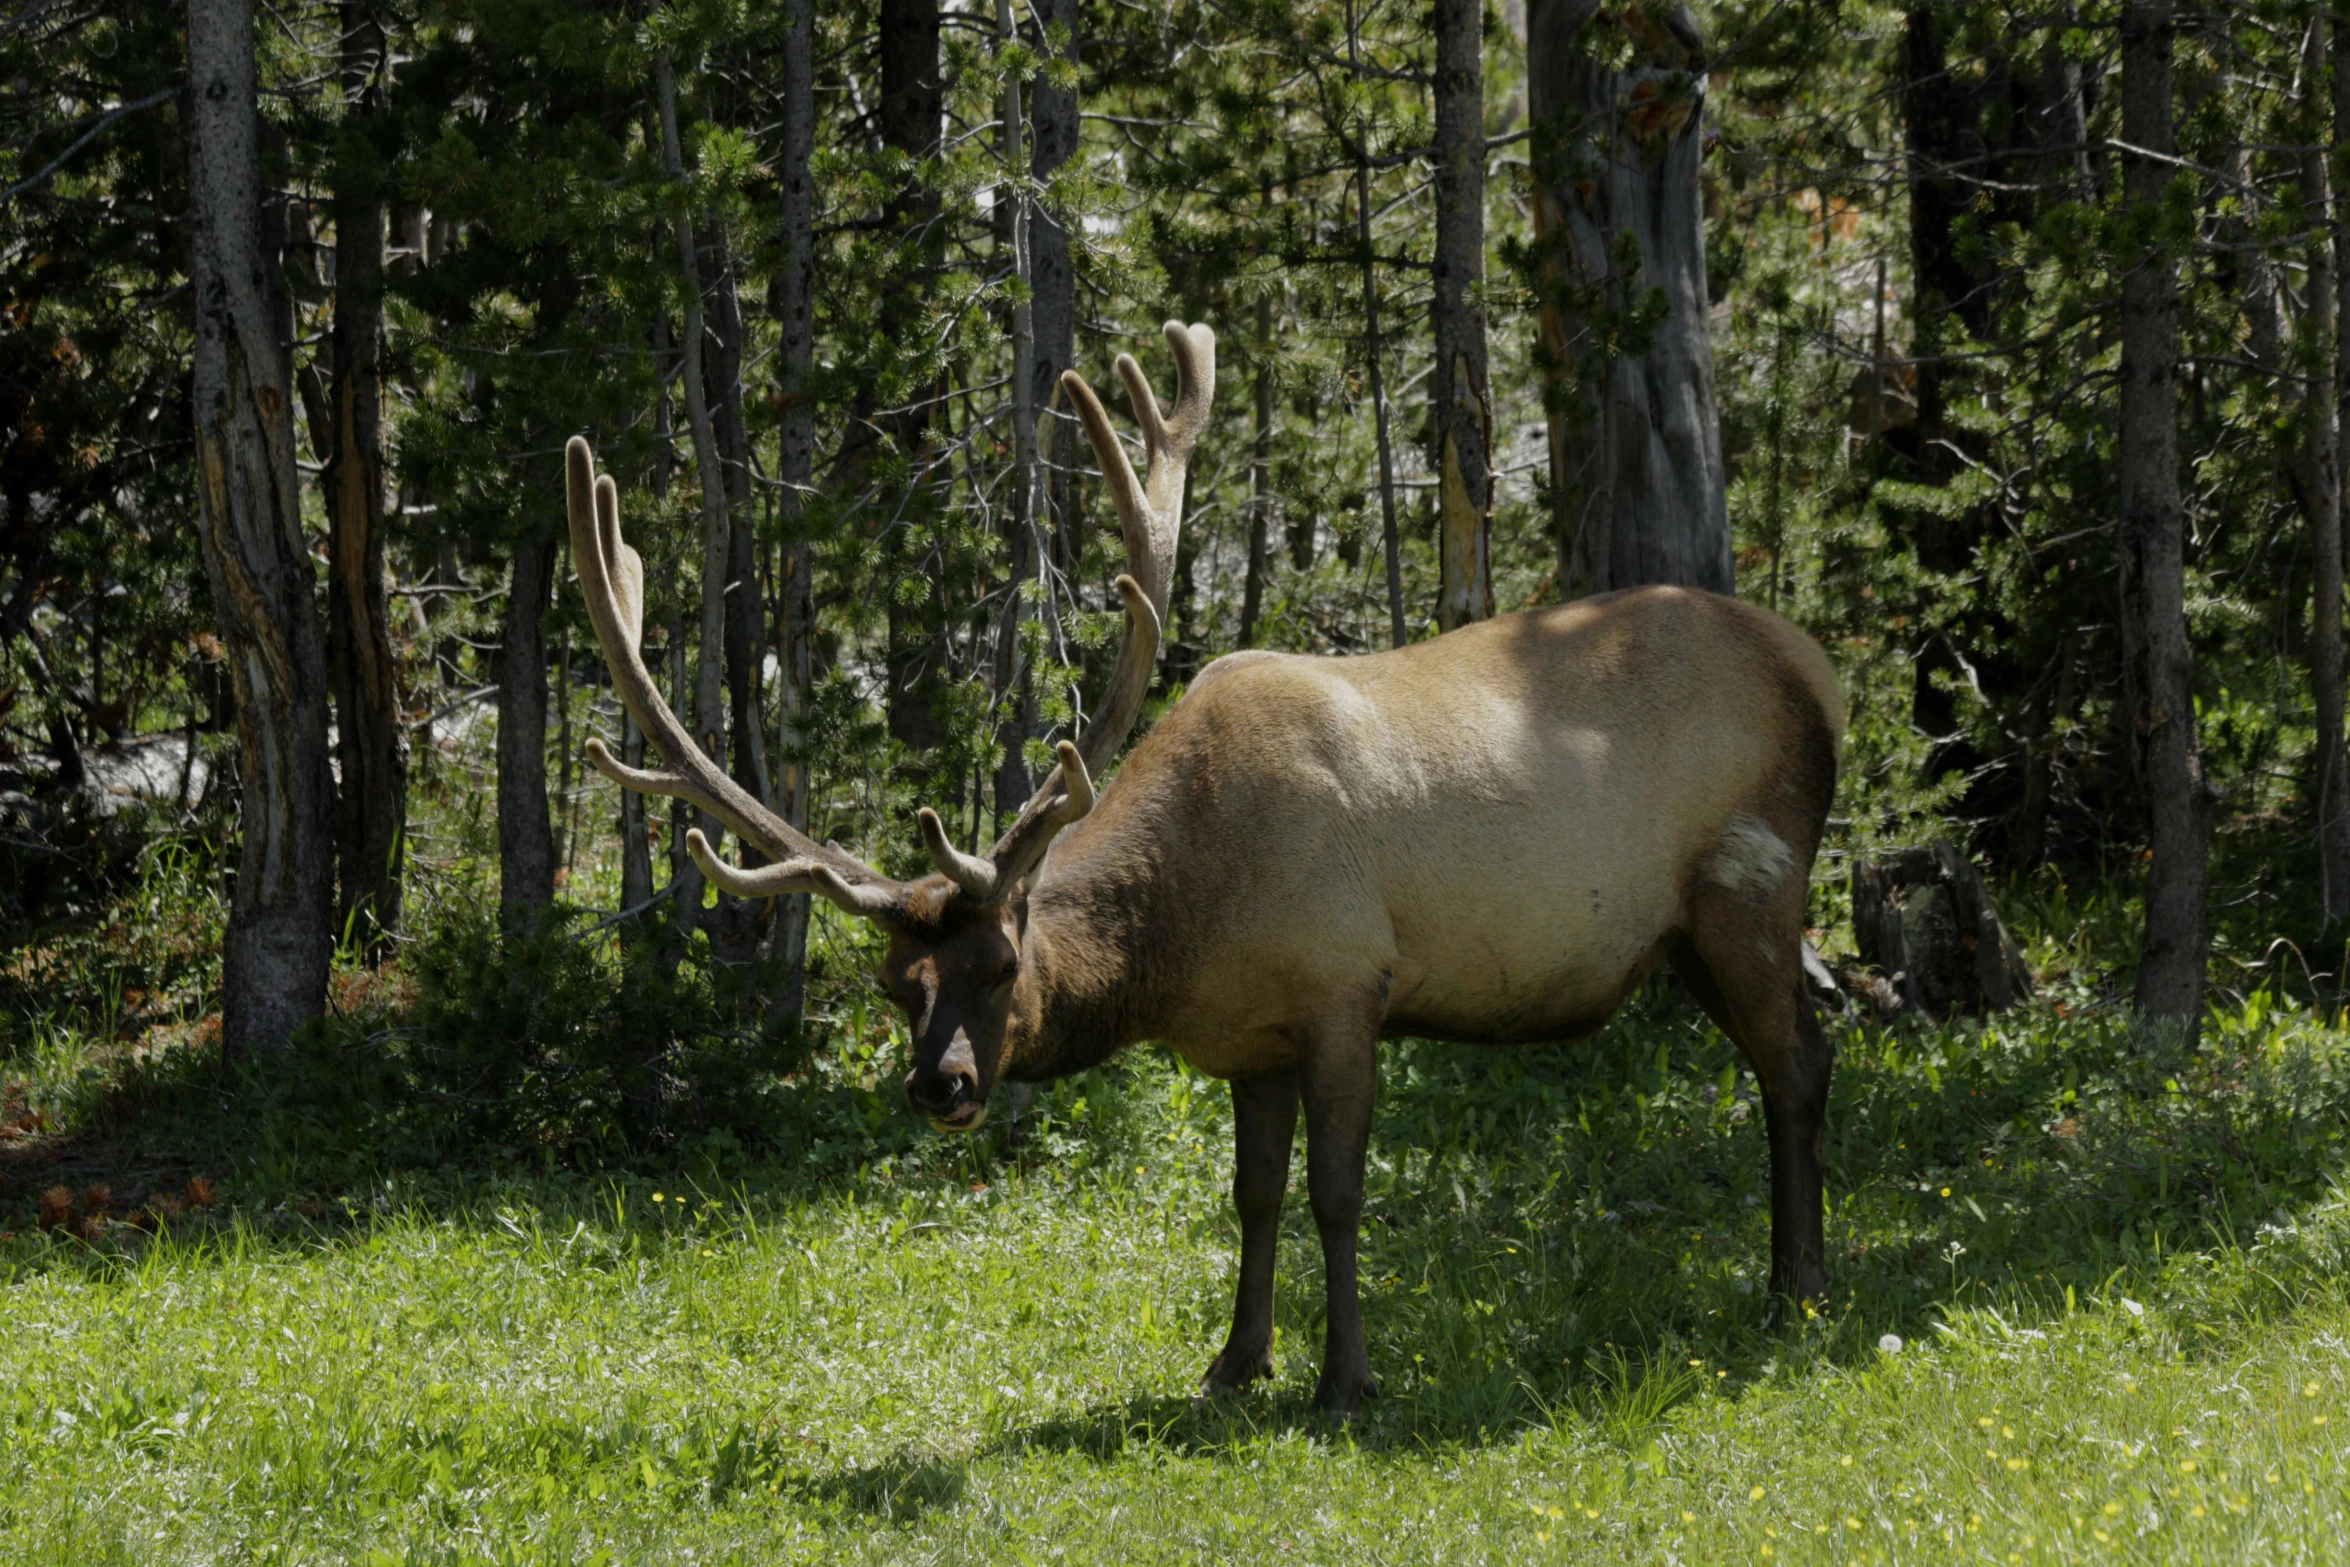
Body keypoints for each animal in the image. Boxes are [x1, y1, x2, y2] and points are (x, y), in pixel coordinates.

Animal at [564, 319, 1832, 1418]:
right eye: (894, 987)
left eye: (1002, 961)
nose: (944, 1086)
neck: (1186, 930)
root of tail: (1822, 676)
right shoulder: (1251, 1036)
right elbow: (1252, 1194)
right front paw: (1234, 1363)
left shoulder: (1345, 984)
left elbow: (1336, 1192)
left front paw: (1344, 1381)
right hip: (1692, 927)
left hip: (1751, 881)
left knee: (1797, 1066)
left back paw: (1799, 1288)